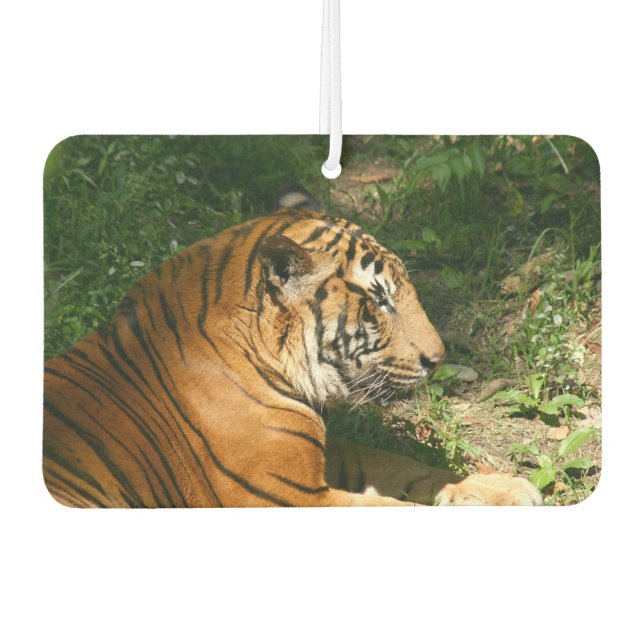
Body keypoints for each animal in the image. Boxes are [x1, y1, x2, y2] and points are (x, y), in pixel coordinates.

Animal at [43, 186, 542, 507]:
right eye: (379, 299)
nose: (437, 360)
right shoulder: (287, 493)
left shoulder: (320, 452)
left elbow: (399, 464)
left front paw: (505, 488)